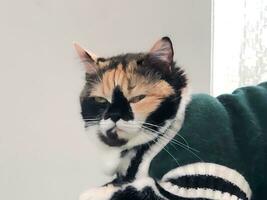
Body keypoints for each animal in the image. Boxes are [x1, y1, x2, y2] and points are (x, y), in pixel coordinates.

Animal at [74, 37, 252, 198]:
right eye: (100, 100)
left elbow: (139, 189)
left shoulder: (207, 182)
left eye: (138, 98)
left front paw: (92, 193)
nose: (115, 115)